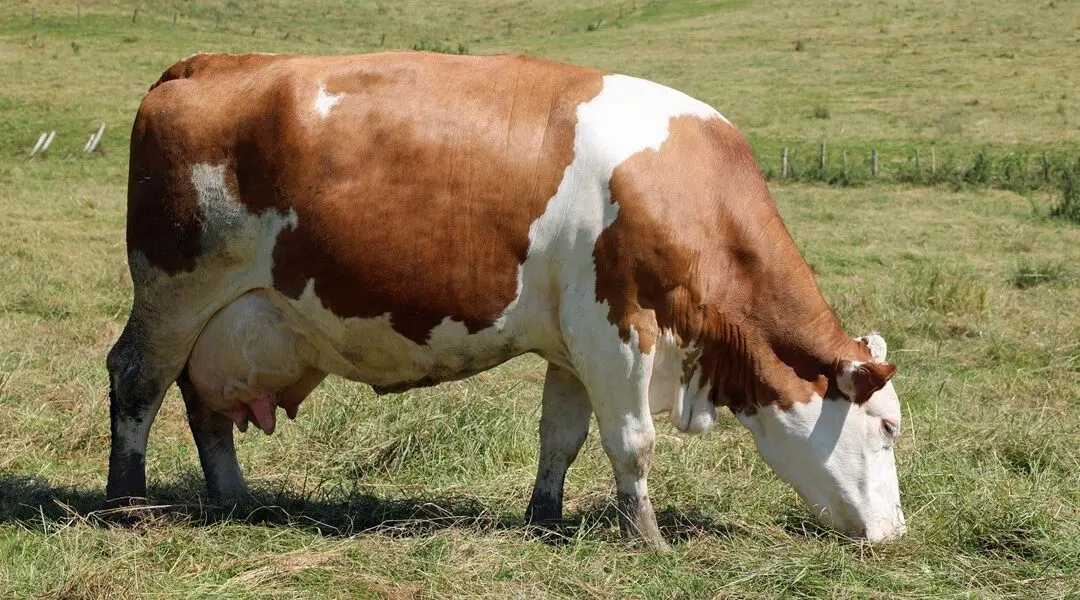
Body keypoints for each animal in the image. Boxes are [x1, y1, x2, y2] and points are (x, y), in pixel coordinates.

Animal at [106, 51, 905, 549]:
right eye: (890, 428)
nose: (896, 533)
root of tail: (206, 64)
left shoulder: (575, 341)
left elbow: (562, 436)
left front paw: (545, 518)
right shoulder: (619, 330)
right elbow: (633, 441)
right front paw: (645, 539)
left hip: (222, 319)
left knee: (205, 407)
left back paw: (234, 498)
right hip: (173, 293)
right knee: (137, 381)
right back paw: (126, 502)